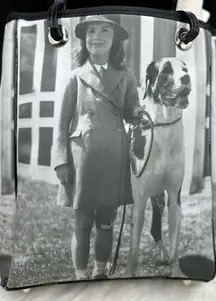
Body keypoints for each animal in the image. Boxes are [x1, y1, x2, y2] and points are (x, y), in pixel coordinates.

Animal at [125, 56, 192, 276]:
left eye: (185, 69)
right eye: (166, 71)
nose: (187, 78)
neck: (164, 128)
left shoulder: (174, 198)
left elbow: (174, 248)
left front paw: (177, 273)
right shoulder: (138, 201)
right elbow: (133, 251)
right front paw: (129, 275)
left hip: (159, 199)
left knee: (155, 230)